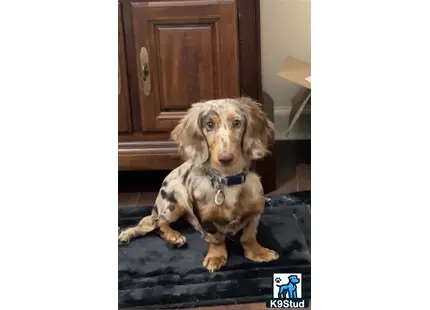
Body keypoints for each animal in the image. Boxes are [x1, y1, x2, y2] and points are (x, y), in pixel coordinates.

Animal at [117, 97, 278, 272]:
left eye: (237, 122)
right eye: (209, 124)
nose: (226, 159)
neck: (228, 180)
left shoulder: (255, 213)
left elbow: (249, 236)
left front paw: (258, 253)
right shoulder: (206, 219)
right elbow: (216, 239)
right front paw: (216, 257)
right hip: (174, 204)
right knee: (158, 223)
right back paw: (174, 237)